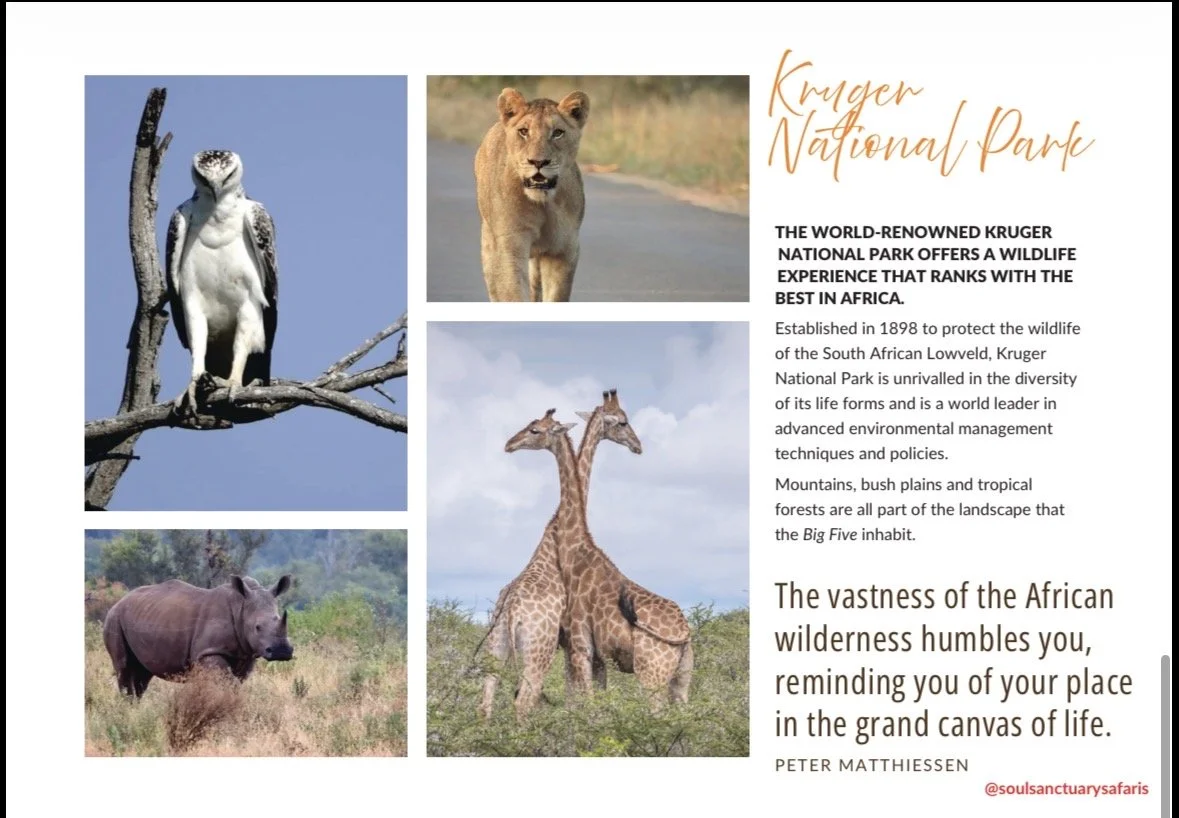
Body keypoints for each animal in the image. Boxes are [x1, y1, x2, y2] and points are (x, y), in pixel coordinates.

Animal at [102, 574, 294, 698]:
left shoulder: (246, 654)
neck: (241, 607)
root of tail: (119, 601)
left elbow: (236, 683)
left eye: (279, 619)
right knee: (124, 668)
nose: (282, 651)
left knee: (142, 675)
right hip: (114, 618)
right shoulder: (209, 651)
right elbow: (227, 681)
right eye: (257, 628)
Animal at [474, 88, 591, 302]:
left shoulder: (564, 250)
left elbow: (556, 296)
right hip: (489, 242)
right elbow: (512, 294)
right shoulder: (509, 246)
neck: (543, 204)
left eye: (558, 133)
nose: (538, 162)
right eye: (524, 131)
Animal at [476, 390, 643, 720]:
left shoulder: (570, 646)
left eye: (534, 428)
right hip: (537, 651)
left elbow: (571, 698)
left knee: (485, 702)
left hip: (496, 646)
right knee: (523, 701)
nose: (638, 445)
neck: (554, 532)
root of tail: (512, 613)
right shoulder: (573, 644)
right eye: (622, 422)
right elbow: (577, 697)